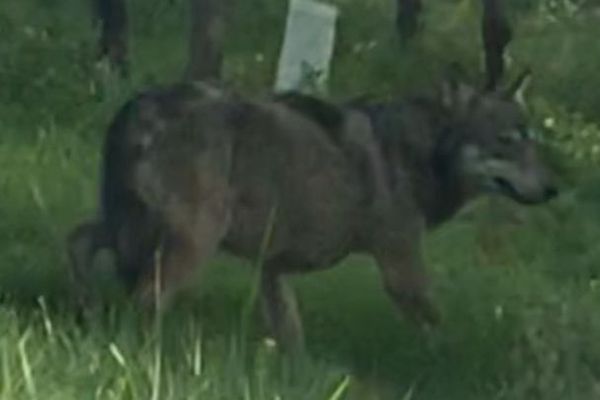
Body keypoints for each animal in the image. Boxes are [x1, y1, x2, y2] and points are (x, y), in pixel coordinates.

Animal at [69, 74, 556, 350]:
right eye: (506, 142)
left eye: (531, 140)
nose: (553, 188)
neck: (415, 152)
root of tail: (142, 105)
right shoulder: (401, 268)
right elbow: (441, 329)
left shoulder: (272, 265)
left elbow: (290, 331)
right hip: (191, 243)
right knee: (145, 298)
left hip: (131, 228)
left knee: (78, 241)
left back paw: (85, 309)